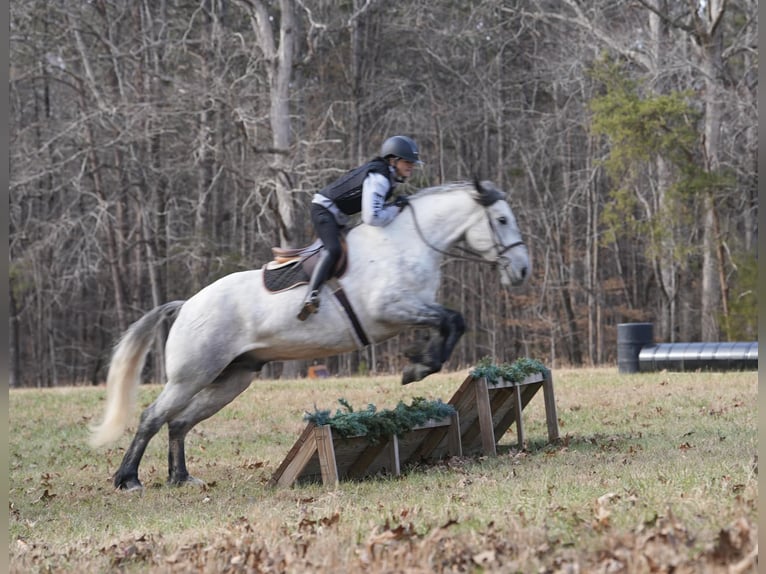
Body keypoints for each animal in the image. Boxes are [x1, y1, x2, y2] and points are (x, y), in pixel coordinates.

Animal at [89, 180, 530, 491]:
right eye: (502, 220)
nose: (523, 269)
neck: (408, 242)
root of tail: (186, 305)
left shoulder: (412, 309)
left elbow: (452, 322)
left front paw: (420, 363)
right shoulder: (391, 309)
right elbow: (451, 320)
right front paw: (418, 367)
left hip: (232, 378)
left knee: (180, 422)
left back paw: (181, 478)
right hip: (192, 375)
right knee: (153, 417)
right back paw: (128, 479)